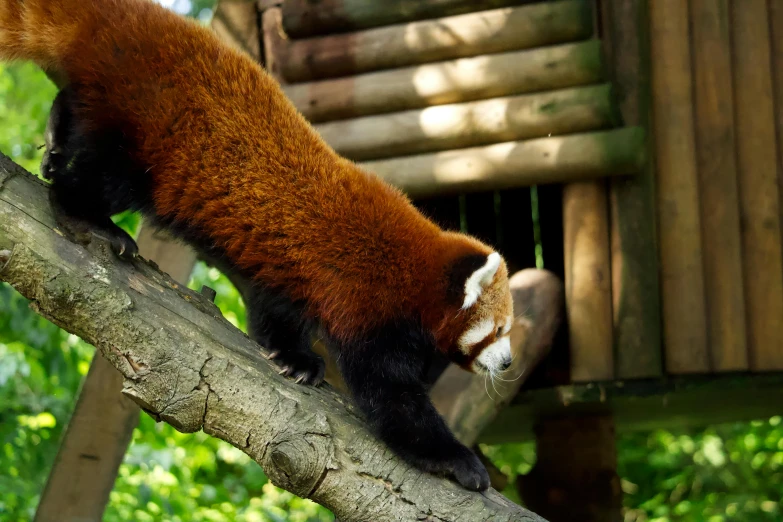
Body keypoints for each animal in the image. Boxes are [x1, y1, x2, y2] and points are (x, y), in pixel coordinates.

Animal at [1, 0, 516, 490]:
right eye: (497, 331)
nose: (509, 361)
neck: (413, 269)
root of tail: (123, 15)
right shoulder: (366, 301)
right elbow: (393, 403)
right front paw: (459, 462)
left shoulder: (289, 277)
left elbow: (276, 312)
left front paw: (294, 359)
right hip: (143, 123)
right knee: (101, 176)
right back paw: (87, 216)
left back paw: (54, 138)